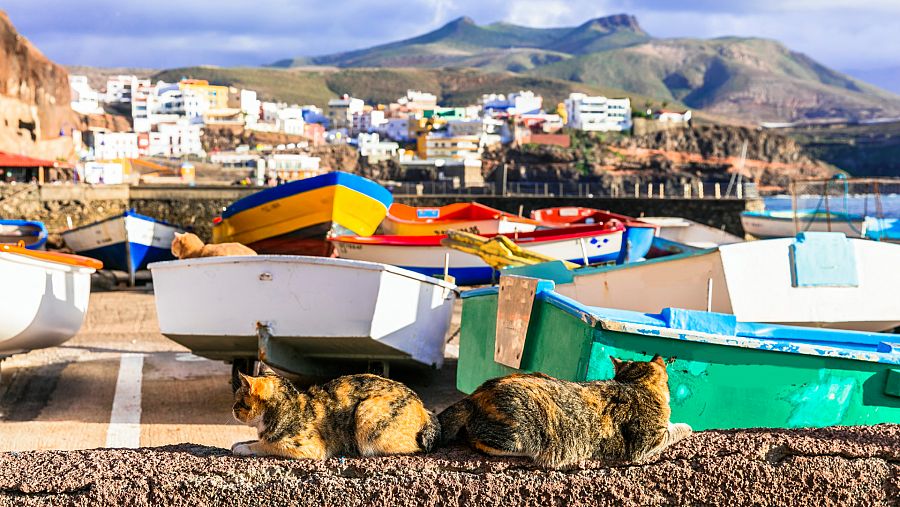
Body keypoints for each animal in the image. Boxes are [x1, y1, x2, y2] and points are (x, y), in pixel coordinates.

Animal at [230, 374, 438, 460]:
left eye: (238, 401)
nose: (232, 408)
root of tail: (423, 408)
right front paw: (242, 442)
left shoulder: (307, 448)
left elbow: (266, 445)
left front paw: (244, 448)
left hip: (365, 413)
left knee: (413, 448)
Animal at [440, 358, 692, 468]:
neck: (634, 383)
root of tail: (475, 394)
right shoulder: (648, 442)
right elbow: (676, 429)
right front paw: (686, 426)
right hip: (519, 435)